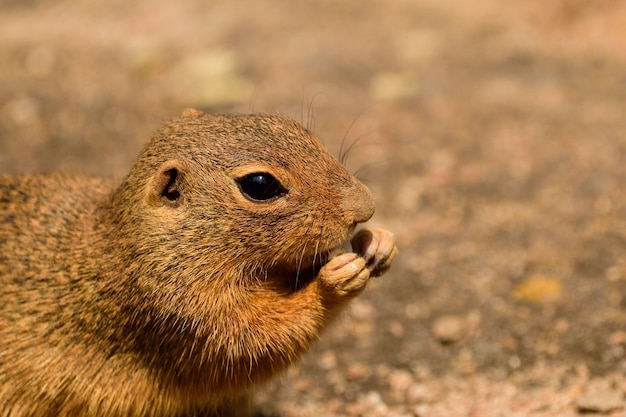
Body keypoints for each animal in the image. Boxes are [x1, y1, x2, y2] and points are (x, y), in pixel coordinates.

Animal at [0, 109, 398, 414]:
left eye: (296, 129)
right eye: (260, 184)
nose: (365, 207)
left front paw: (379, 242)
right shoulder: (189, 317)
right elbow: (263, 342)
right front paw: (334, 281)